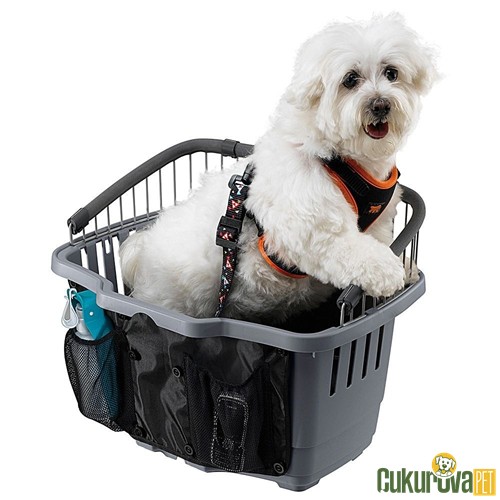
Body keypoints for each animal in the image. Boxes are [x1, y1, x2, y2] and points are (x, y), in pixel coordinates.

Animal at [119, 14, 437, 324]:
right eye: (350, 79)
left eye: (391, 73)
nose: (381, 105)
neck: (343, 157)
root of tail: (140, 253)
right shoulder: (311, 222)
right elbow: (349, 248)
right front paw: (387, 271)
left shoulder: (379, 221)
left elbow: (382, 241)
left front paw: (403, 266)